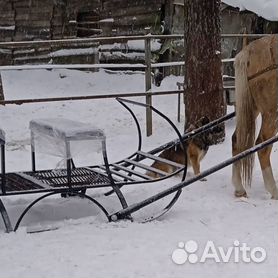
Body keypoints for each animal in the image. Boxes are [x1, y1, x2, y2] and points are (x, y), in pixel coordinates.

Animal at [232, 35, 278, 200]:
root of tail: (248, 51)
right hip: (271, 113)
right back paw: (274, 190)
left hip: (252, 108)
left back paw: (239, 188)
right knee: (262, 146)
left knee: (237, 140)